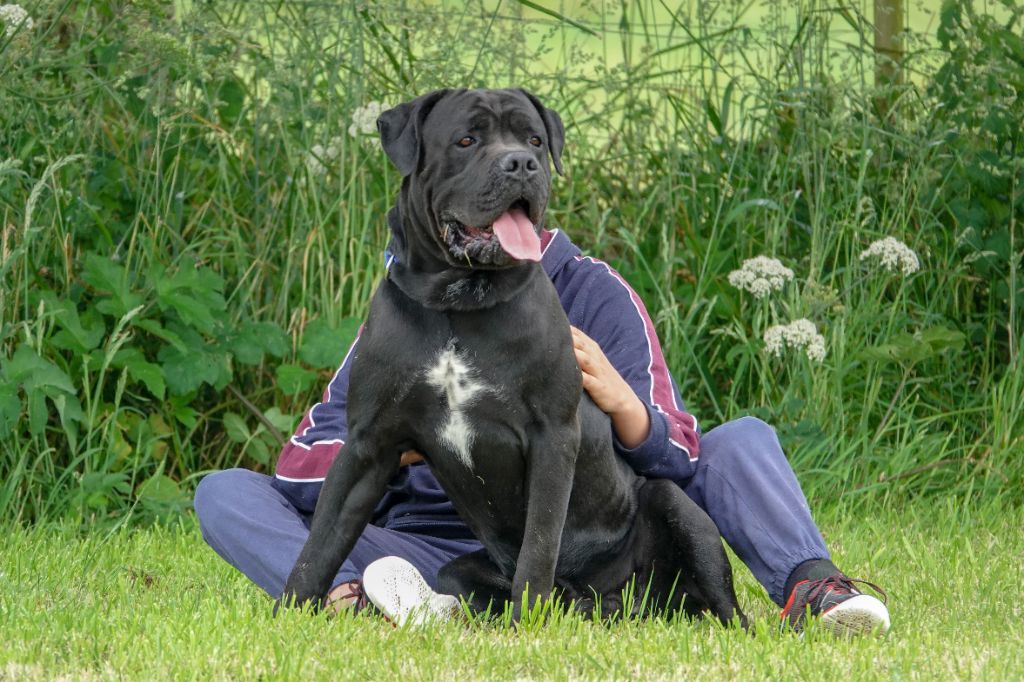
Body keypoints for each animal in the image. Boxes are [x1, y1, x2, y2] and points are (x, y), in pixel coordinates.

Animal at [284, 87, 749, 622]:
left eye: (534, 141)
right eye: (466, 140)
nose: (522, 163)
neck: (458, 301)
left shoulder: (552, 436)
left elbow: (540, 543)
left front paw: (529, 622)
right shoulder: (367, 444)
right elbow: (320, 542)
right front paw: (288, 610)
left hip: (674, 505)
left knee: (726, 605)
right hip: (463, 570)